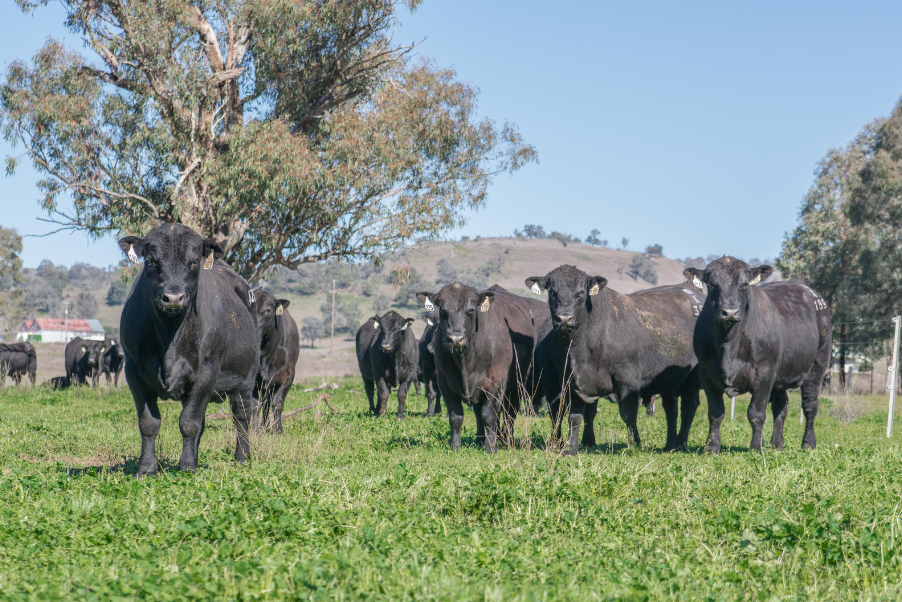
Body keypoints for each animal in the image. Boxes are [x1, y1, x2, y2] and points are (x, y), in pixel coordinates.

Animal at [118, 223, 260, 476]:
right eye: (151, 260)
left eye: (194, 261)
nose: (173, 297)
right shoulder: (133, 370)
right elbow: (149, 422)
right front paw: (147, 467)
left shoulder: (207, 370)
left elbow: (189, 423)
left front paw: (186, 467)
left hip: (246, 377)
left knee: (242, 415)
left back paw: (242, 457)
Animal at [253, 289, 299, 434]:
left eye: (268, 310)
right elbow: (255, 405)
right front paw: (253, 430)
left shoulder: (288, 375)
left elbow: (278, 403)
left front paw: (278, 431)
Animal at [415, 283, 535, 453]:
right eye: (443, 311)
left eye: (471, 311)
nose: (455, 338)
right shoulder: (444, 382)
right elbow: (456, 416)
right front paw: (455, 446)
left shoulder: (496, 382)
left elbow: (489, 415)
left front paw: (491, 448)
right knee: (479, 413)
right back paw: (480, 440)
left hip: (517, 382)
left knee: (509, 412)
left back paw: (506, 440)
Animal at [525, 265, 705, 455]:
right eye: (552, 292)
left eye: (581, 293)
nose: (564, 318)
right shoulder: (572, 382)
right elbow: (574, 417)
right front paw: (570, 448)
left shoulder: (627, 382)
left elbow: (628, 414)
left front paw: (634, 444)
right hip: (668, 382)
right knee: (671, 409)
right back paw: (670, 444)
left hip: (692, 380)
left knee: (688, 408)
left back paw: (680, 444)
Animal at [684, 257, 831, 453]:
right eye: (711, 284)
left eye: (745, 285)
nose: (730, 312)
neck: (729, 345)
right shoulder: (705, 371)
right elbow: (715, 412)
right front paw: (712, 447)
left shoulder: (765, 371)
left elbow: (756, 412)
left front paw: (755, 447)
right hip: (781, 376)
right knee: (780, 407)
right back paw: (777, 444)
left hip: (817, 366)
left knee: (810, 405)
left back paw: (808, 443)